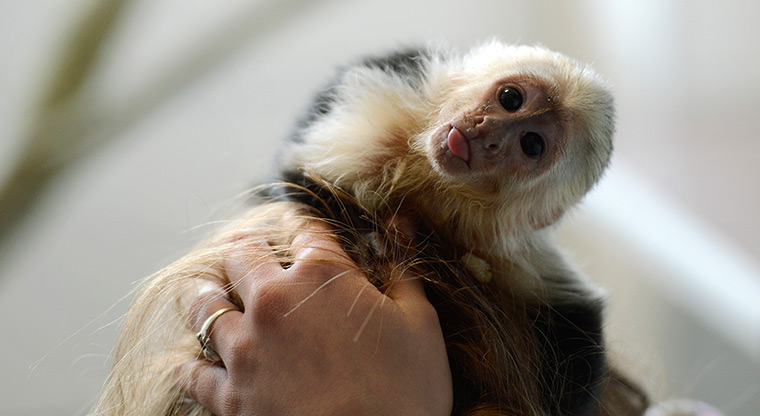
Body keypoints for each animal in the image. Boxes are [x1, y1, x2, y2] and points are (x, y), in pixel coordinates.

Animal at [91, 41, 649, 416]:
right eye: (511, 98)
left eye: (531, 145)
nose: (490, 135)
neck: (430, 183)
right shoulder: (382, 108)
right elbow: (298, 176)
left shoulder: (508, 253)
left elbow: (576, 336)